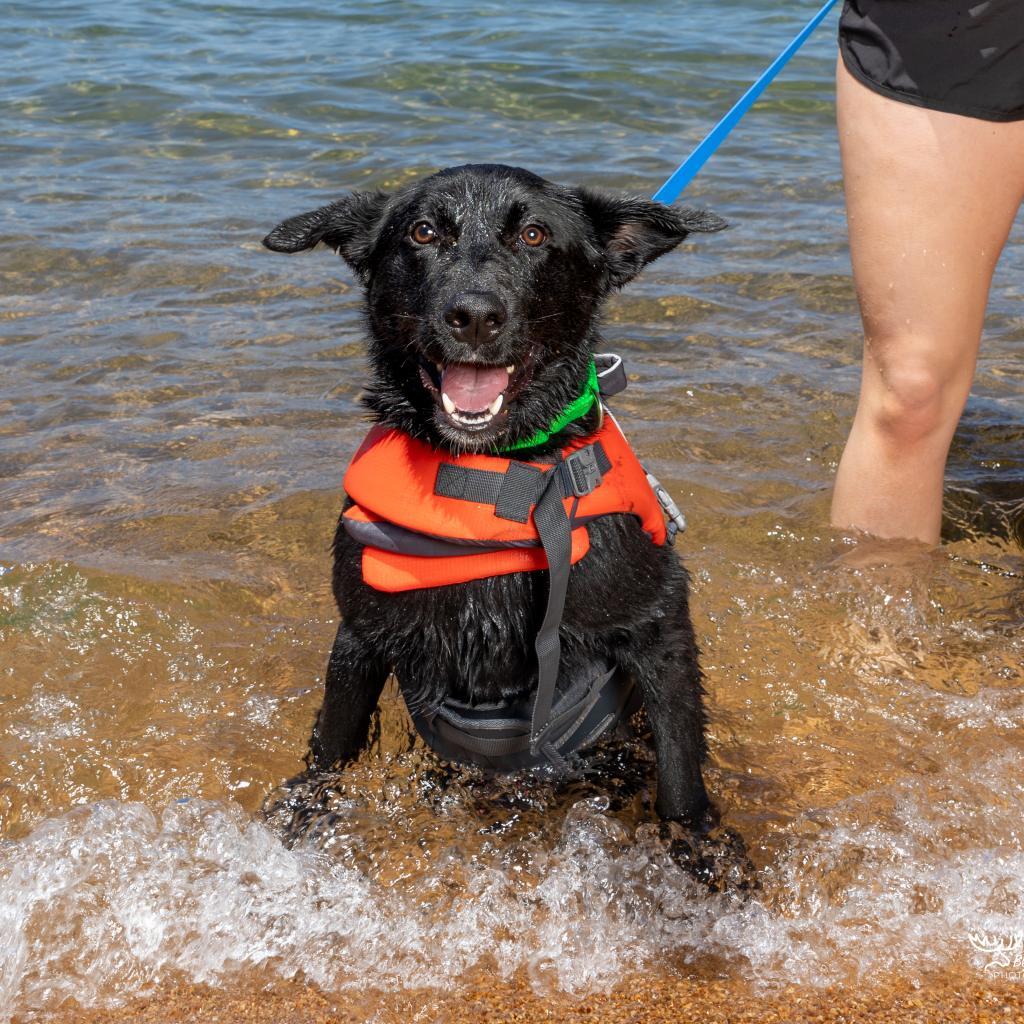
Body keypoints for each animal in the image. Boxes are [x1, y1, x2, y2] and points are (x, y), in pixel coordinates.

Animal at [264, 163, 729, 827]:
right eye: (424, 231)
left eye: (534, 235)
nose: (475, 316)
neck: (496, 476)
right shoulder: (359, 634)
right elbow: (331, 747)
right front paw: (302, 816)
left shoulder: (658, 625)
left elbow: (682, 773)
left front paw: (700, 849)